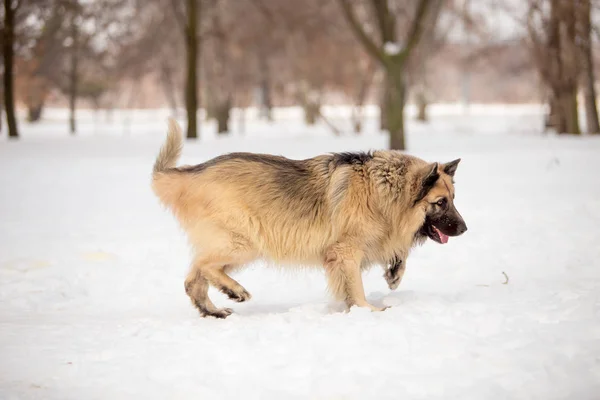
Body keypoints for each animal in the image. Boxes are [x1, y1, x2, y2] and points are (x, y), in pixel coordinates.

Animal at [151, 119, 468, 318]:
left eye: (453, 199)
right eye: (440, 203)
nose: (465, 228)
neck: (383, 190)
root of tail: (191, 174)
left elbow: (398, 255)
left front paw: (394, 273)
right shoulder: (345, 253)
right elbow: (355, 287)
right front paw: (368, 311)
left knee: (194, 278)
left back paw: (213, 310)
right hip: (244, 243)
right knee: (205, 266)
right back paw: (235, 291)